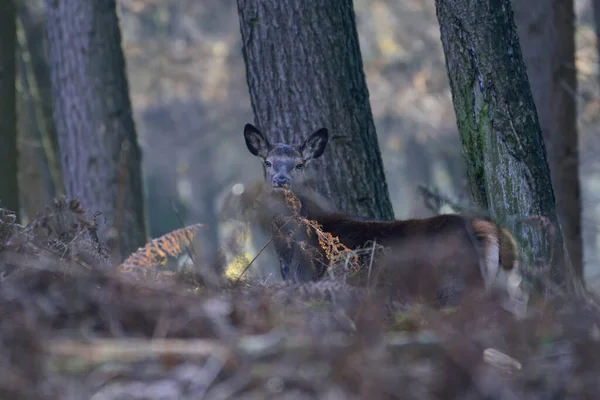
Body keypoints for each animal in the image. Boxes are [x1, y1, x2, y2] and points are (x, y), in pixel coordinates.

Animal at [241, 123, 528, 304]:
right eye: (268, 162)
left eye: (299, 164)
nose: (280, 180)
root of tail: (492, 233)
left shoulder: (311, 277)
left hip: (459, 285)